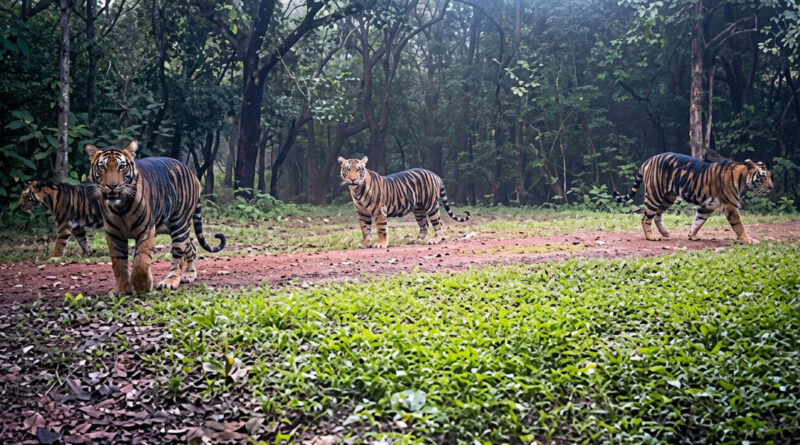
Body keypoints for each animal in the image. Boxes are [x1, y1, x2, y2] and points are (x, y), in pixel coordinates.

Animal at [85, 140, 226, 295]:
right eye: (102, 167)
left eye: (121, 167)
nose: (112, 186)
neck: (120, 208)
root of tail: (192, 174)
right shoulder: (113, 234)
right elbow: (118, 264)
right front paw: (122, 290)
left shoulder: (146, 230)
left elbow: (141, 261)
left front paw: (142, 287)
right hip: (174, 229)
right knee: (192, 247)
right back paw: (189, 275)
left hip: (180, 225)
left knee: (178, 257)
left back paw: (170, 282)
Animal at [338, 156, 470, 248]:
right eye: (348, 169)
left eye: (358, 170)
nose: (353, 179)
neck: (357, 191)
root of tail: (435, 175)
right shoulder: (362, 213)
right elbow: (365, 230)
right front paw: (365, 243)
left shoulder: (380, 211)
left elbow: (381, 228)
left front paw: (381, 244)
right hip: (418, 209)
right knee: (425, 225)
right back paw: (417, 240)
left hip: (431, 205)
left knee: (438, 223)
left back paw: (435, 240)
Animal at [613, 152, 773, 244]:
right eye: (763, 177)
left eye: (769, 176)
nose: (771, 187)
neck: (742, 178)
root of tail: (648, 160)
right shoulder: (730, 205)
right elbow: (739, 225)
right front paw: (749, 240)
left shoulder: (707, 206)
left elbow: (698, 221)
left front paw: (692, 236)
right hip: (654, 194)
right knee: (646, 217)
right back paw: (651, 237)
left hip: (668, 197)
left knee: (657, 214)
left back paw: (665, 232)